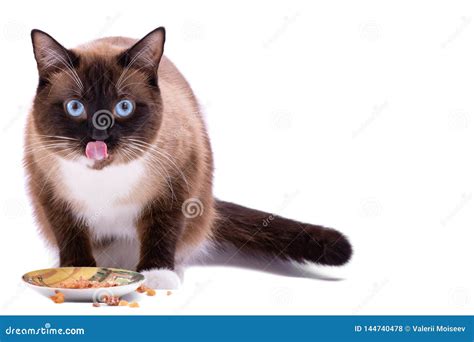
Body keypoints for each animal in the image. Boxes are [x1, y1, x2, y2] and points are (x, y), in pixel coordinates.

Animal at [25, 27, 352, 288]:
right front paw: (76, 270)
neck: (104, 176)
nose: (99, 136)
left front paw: (157, 275)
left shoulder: (175, 186)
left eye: (124, 107)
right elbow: (69, 234)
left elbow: (162, 231)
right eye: (75, 107)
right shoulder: (50, 192)